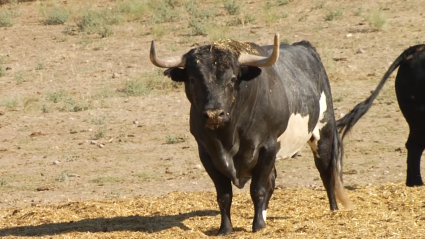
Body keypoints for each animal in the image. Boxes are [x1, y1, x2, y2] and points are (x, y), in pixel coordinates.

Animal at [150, 34, 352, 235]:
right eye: (192, 80)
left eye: (233, 78)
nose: (214, 114)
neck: (229, 137)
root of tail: (304, 47)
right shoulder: (207, 153)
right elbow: (224, 195)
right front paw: (226, 229)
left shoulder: (267, 147)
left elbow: (258, 189)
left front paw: (258, 226)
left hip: (323, 133)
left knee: (326, 172)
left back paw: (333, 210)